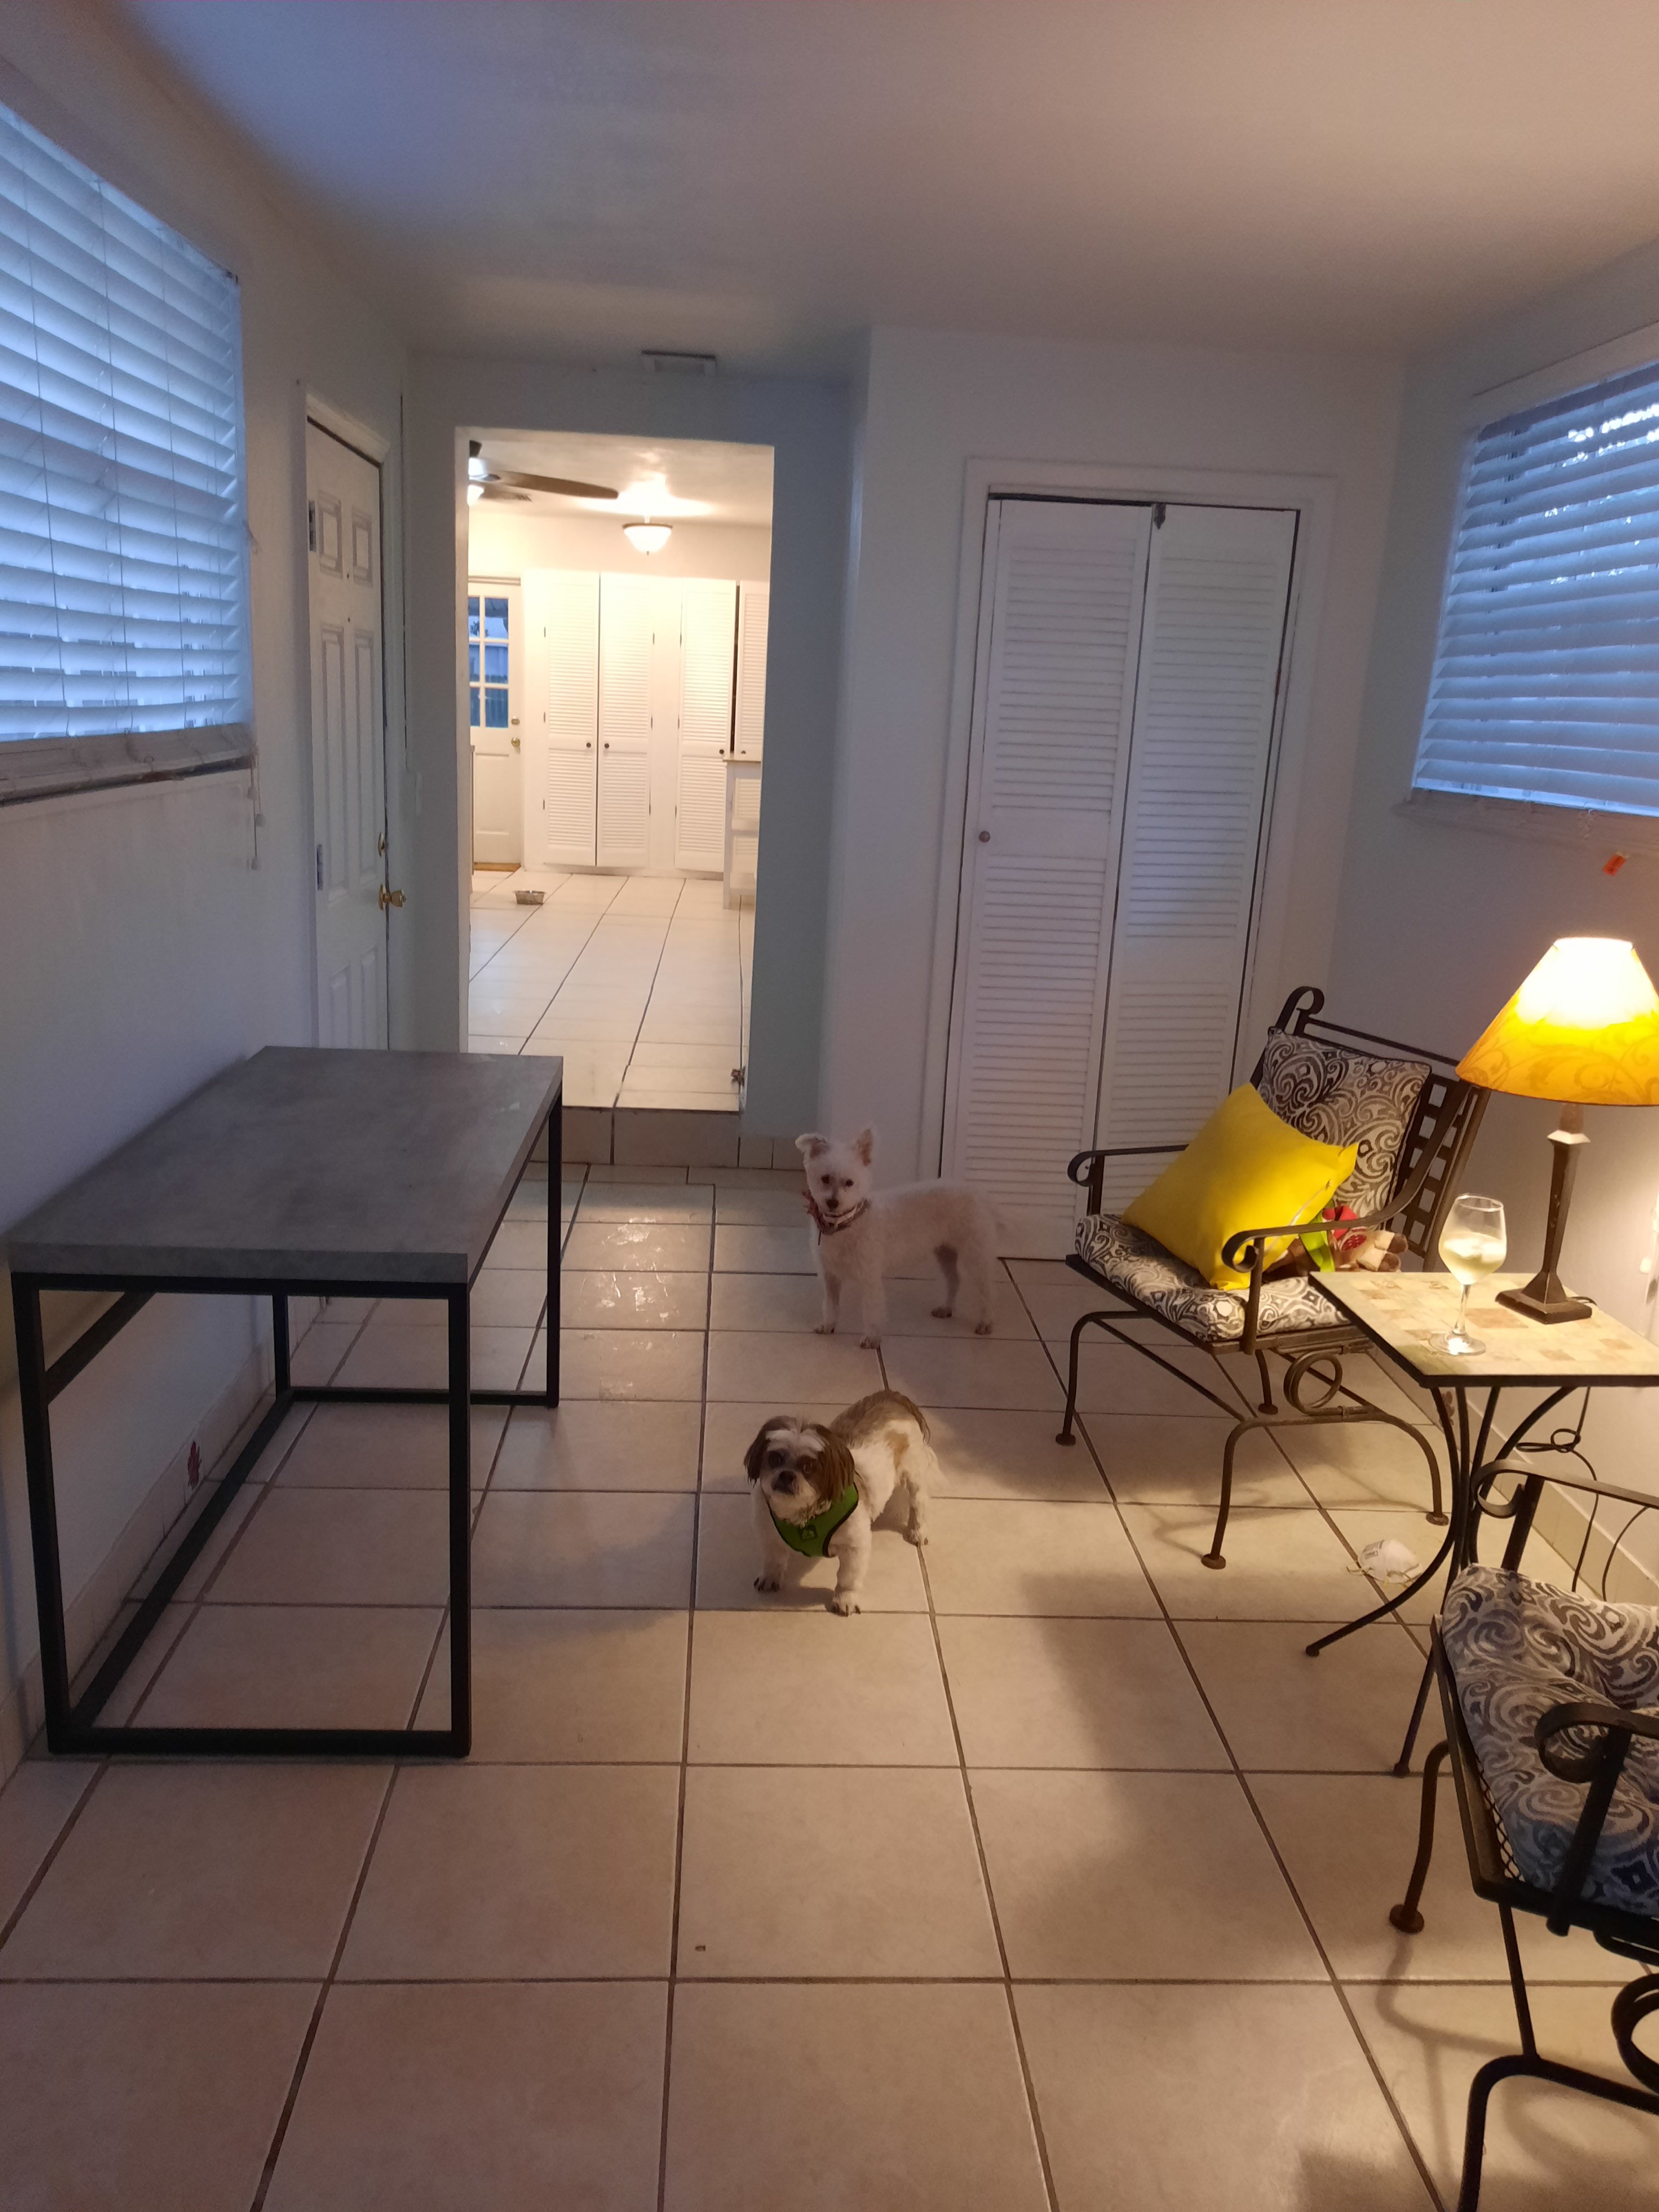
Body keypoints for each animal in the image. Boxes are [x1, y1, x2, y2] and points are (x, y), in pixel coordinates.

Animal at [745, 1391, 936, 1615]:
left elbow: (848, 1578)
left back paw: (917, 1530)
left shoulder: (855, 1547)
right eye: (774, 1459)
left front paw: (845, 1599)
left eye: (808, 1467)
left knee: (918, 1501)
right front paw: (771, 1577)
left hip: (913, 1473)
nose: (786, 1475)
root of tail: (892, 1396)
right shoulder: (768, 1532)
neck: (803, 1515)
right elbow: (773, 1559)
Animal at [795, 1128, 997, 1348]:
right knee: (954, 1279)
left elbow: (871, 1309)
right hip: (945, 1251)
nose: (833, 1203)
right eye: (825, 1179)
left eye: (849, 1183)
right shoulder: (829, 1276)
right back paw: (946, 1308)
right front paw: (828, 1325)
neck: (845, 1224)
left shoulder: (870, 1278)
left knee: (985, 1289)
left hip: (975, 1254)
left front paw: (872, 1338)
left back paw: (985, 1321)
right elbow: (831, 1305)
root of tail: (976, 1192)